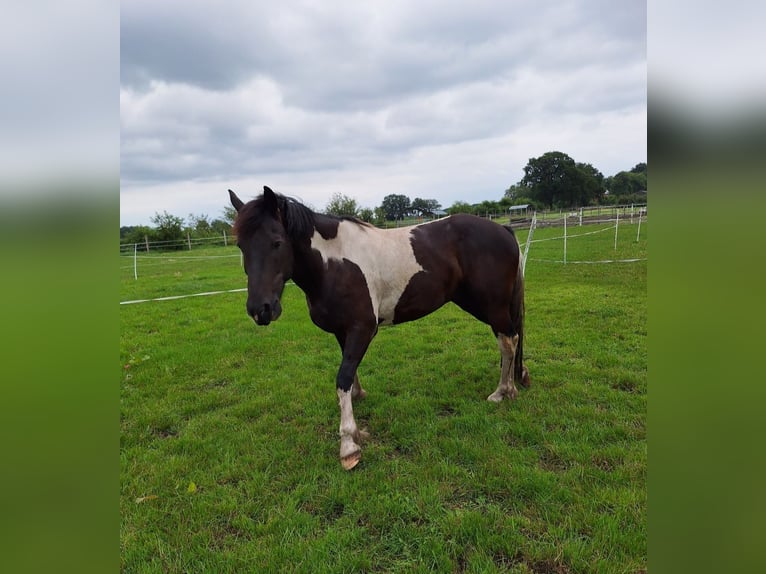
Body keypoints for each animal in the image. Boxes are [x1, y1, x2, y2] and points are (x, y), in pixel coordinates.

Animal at [228, 187, 528, 470]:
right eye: (241, 246)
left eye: (277, 242)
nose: (260, 309)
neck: (332, 265)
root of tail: (503, 229)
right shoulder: (343, 331)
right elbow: (349, 373)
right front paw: (358, 404)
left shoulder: (362, 329)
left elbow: (342, 377)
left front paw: (349, 445)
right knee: (508, 340)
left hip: (491, 306)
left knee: (508, 341)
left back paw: (503, 392)